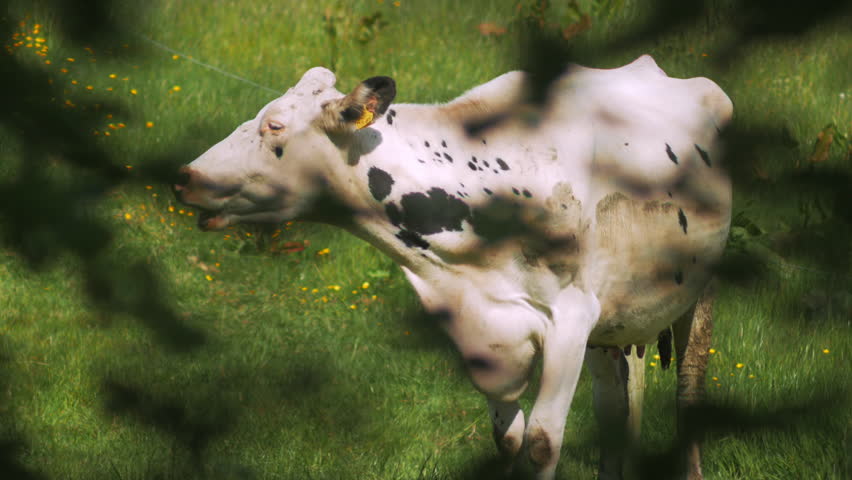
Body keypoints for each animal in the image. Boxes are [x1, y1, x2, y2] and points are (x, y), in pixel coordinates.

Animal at [174, 55, 733, 480]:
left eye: (274, 126)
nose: (184, 176)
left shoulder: (571, 317)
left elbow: (541, 443)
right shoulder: (487, 331)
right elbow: (508, 439)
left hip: (701, 286)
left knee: (688, 386)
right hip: (619, 317)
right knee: (618, 402)